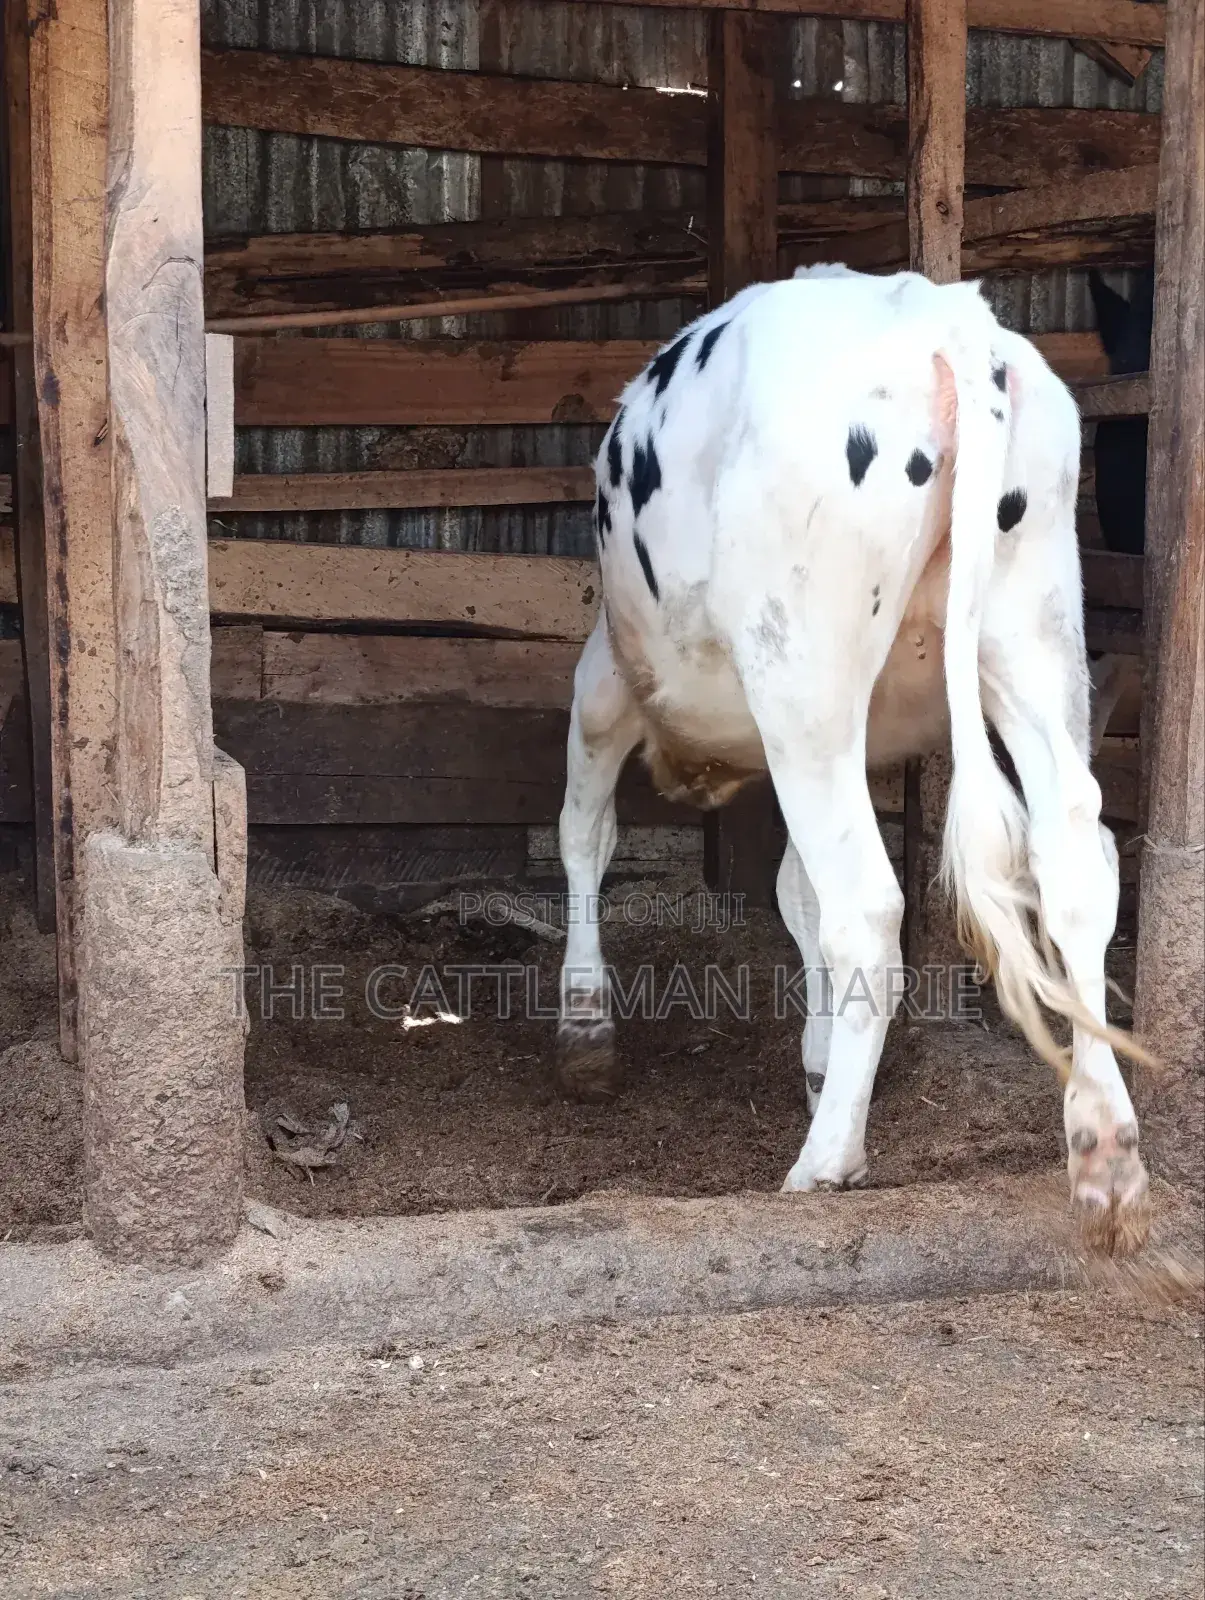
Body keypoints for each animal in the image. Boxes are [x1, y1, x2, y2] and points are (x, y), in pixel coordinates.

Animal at [555, 265, 1151, 1255]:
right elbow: (795, 891)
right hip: (1033, 630)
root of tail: (943, 318)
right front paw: (821, 1054)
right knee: (1076, 861)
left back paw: (825, 1160)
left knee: (868, 905)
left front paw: (584, 1024)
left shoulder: (607, 672)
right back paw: (1103, 1142)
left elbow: (584, 834)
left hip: (801, 668)